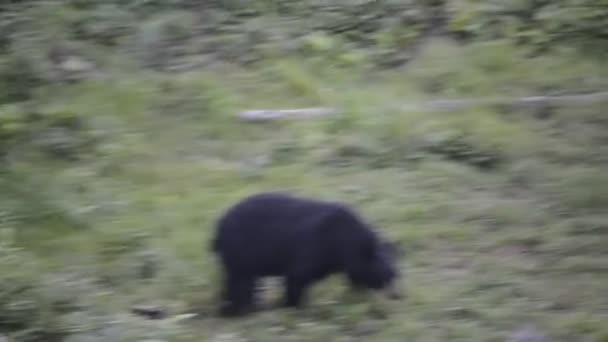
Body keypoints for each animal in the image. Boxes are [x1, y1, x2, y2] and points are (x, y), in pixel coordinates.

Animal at [209, 192, 404, 318]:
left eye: (396, 274)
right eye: (387, 275)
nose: (397, 296)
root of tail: (219, 227)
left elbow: (354, 275)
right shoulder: (315, 246)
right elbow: (298, 276)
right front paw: (295, 307)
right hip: (242, 251)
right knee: (239, 283)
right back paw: (238, 309)